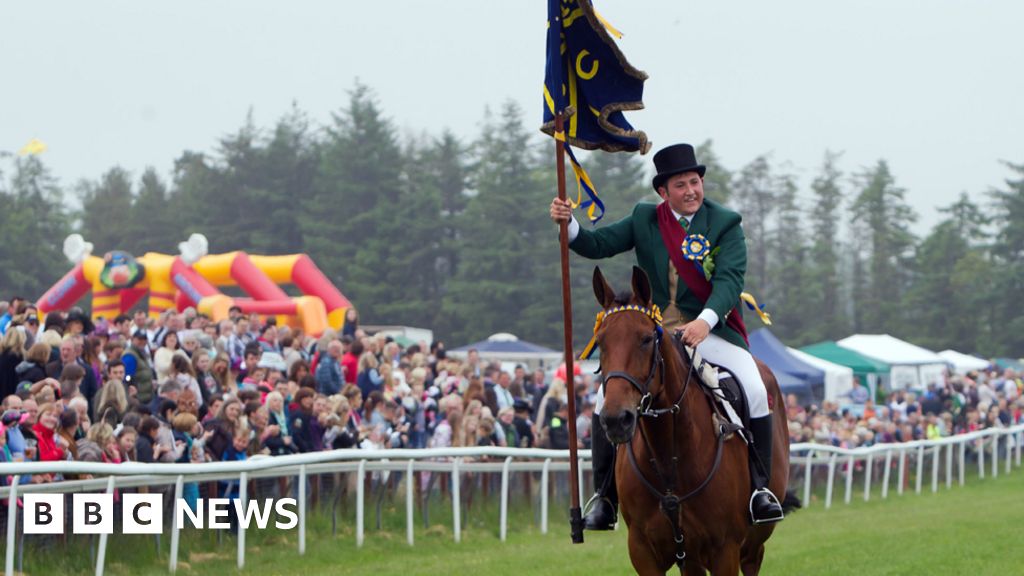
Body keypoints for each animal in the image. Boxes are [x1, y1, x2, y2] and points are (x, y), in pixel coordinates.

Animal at [589, 266, 786, 573]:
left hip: (752, 545)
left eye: (646, 339)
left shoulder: (725, 550)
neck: (668, 453)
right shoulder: (642, 551)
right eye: (600, 342)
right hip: (691, 557)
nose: (616, 420)